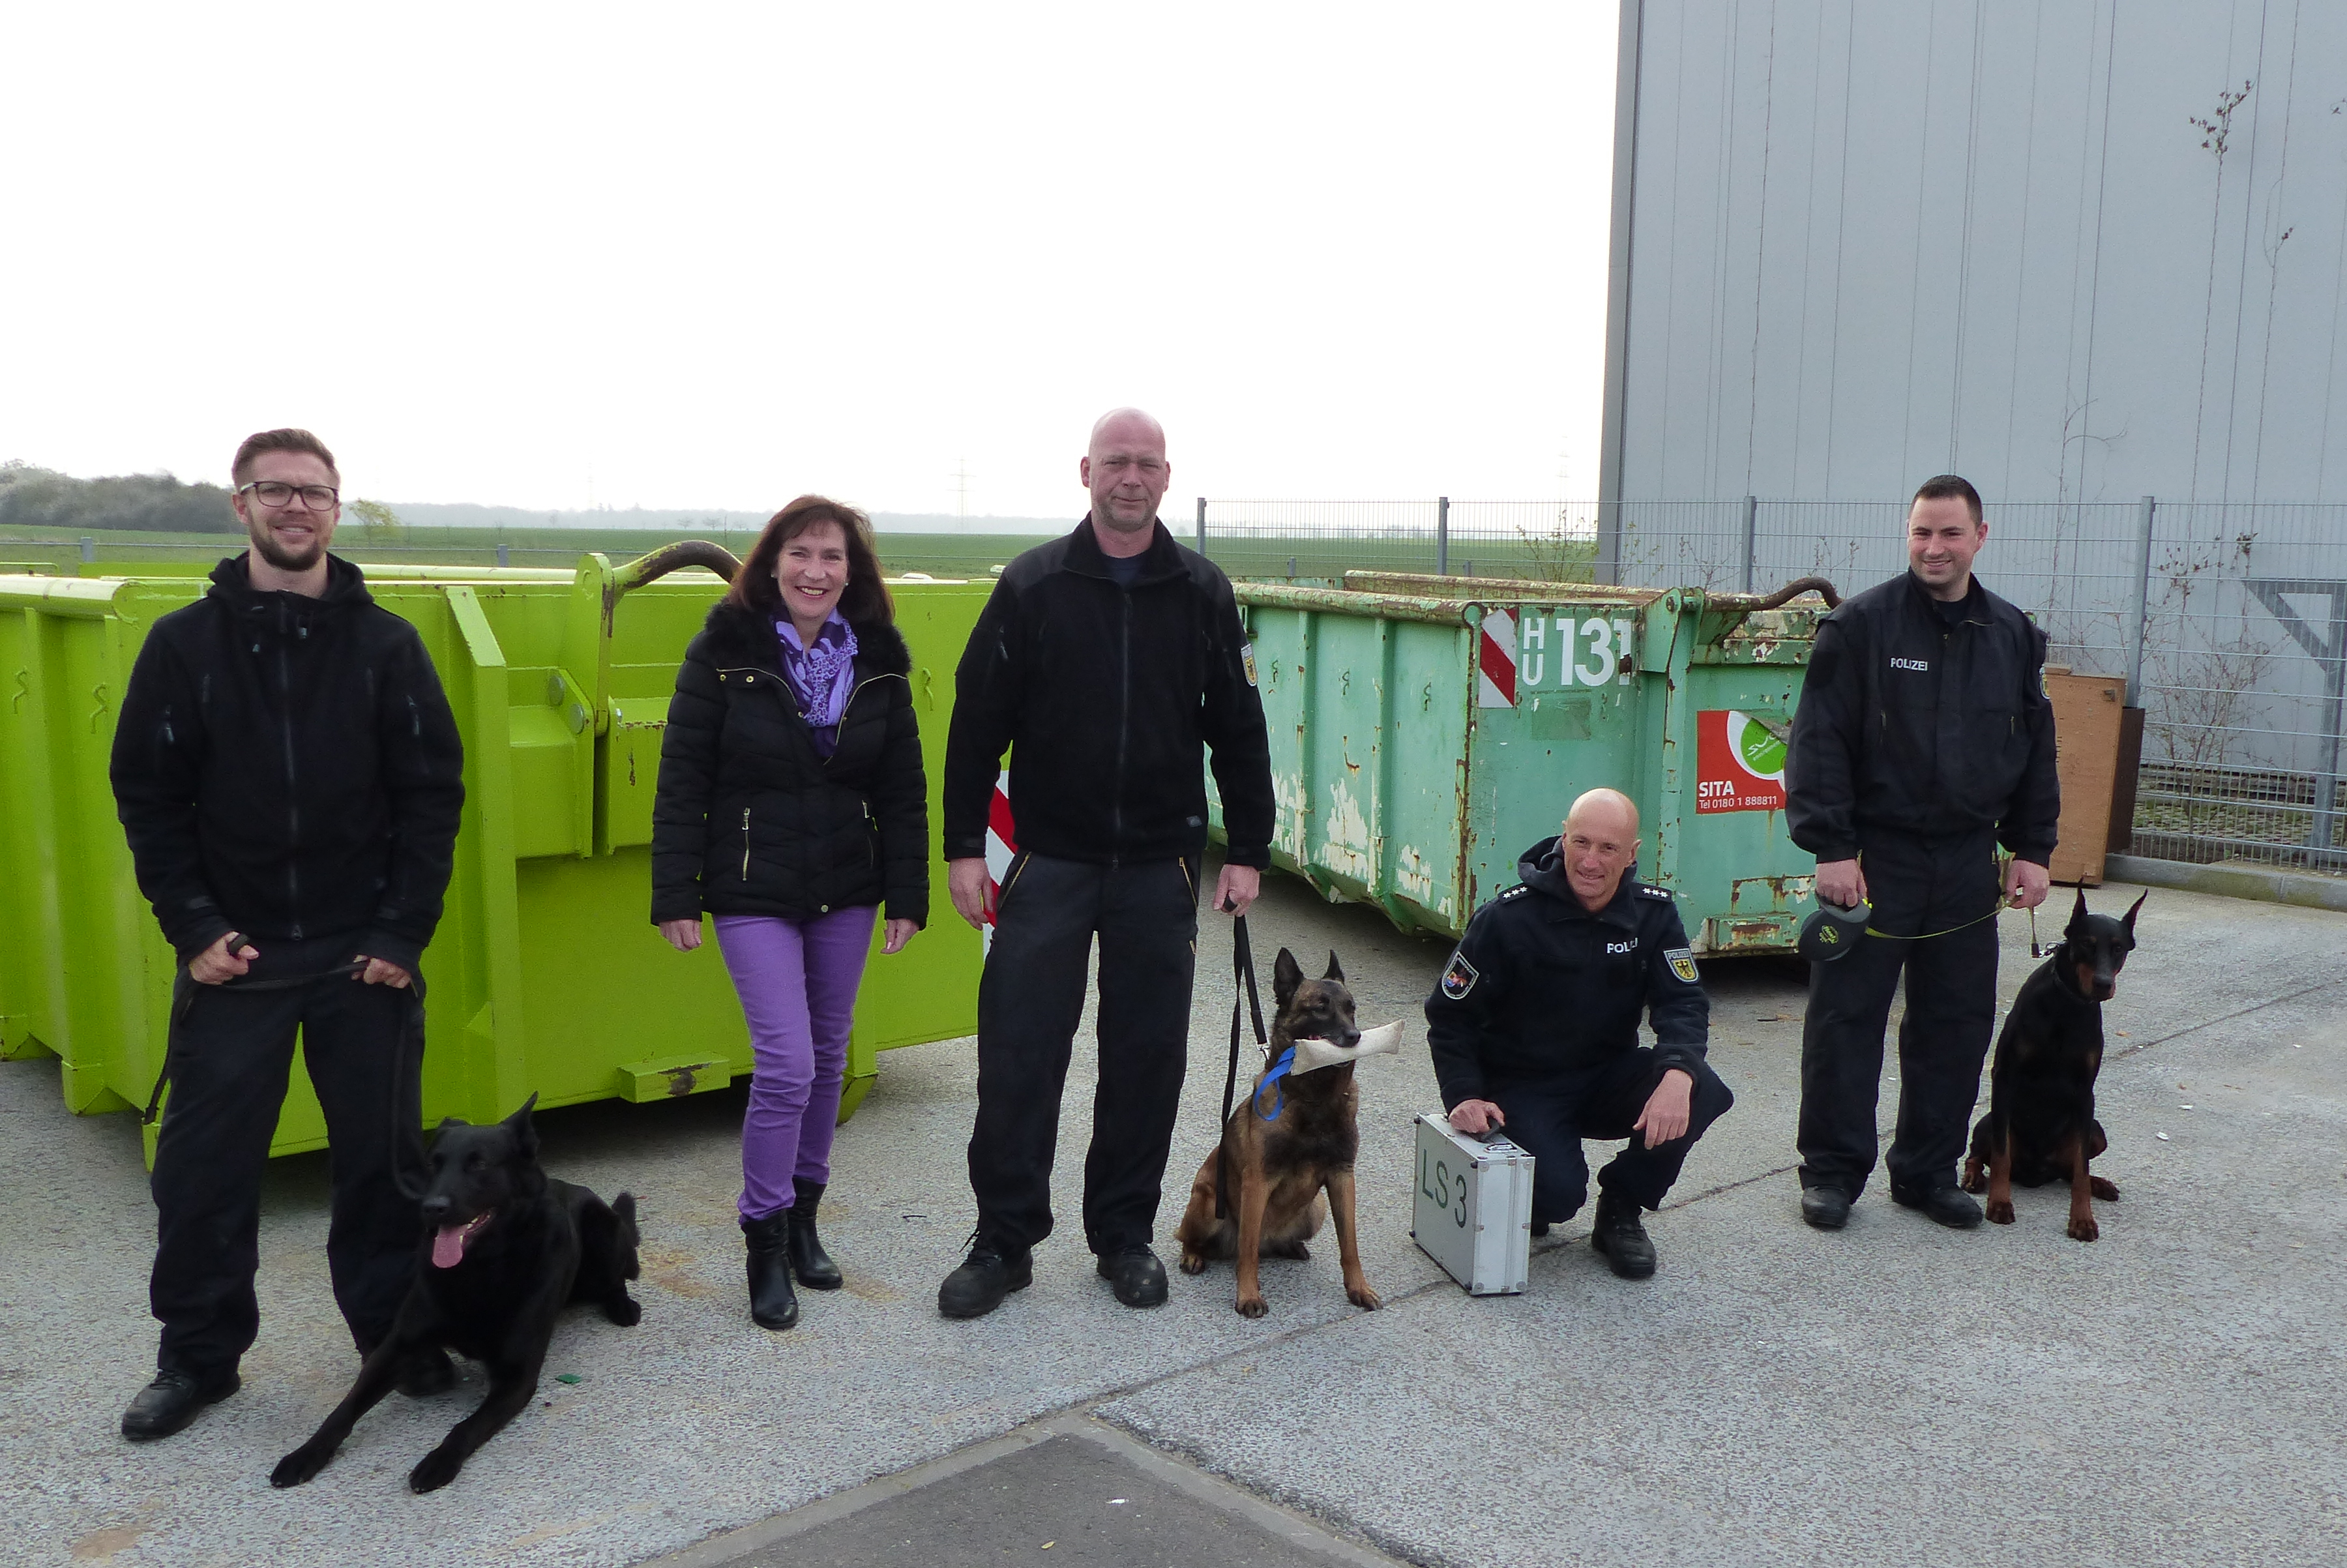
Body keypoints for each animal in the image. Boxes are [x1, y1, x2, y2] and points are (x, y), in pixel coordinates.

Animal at [272, 1098, 643, 1492]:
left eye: (479, 1164)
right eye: (434, 1165)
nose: (432, 1208)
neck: (480, 1269)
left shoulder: (517, 1378)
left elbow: (466, 1427)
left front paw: (439, 1461)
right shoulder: (396, 1348)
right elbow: (345, 1408)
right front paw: (306, 1453)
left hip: (604, 1230)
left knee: (617, 1279)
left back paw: (623, 1306)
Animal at [1174, 948, 1370, 1314]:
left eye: (1351, 1007)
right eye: (1320, 1008)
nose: (1354, 1037)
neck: (1313, 1098)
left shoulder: (1342, 1177)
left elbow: (1350, 1246)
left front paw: (1359, 1289)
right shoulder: (1257, 1183)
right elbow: (1248, 1252)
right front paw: (1249, 1296)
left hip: (1316, 1209)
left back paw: (1291, 1247)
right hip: (1208, 1202)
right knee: (1193, 1239)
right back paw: (1193, 1256)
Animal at [1962, 892, 2149, 1239]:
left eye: (2118, 948)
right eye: (2087, 943)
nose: (2103, 984)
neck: (2069, 1004)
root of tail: (2036, 1172)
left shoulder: (2085, 1092)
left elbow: (2080, 1170)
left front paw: (2082, 1219)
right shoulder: (2004, 1077)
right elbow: (2001, 1156)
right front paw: (2000, 1203)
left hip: (2095, 1132)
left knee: (2071, 1169)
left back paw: (2100, 1184)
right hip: (1990, 1120)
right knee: (1979, 1153)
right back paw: (1973, 1177)